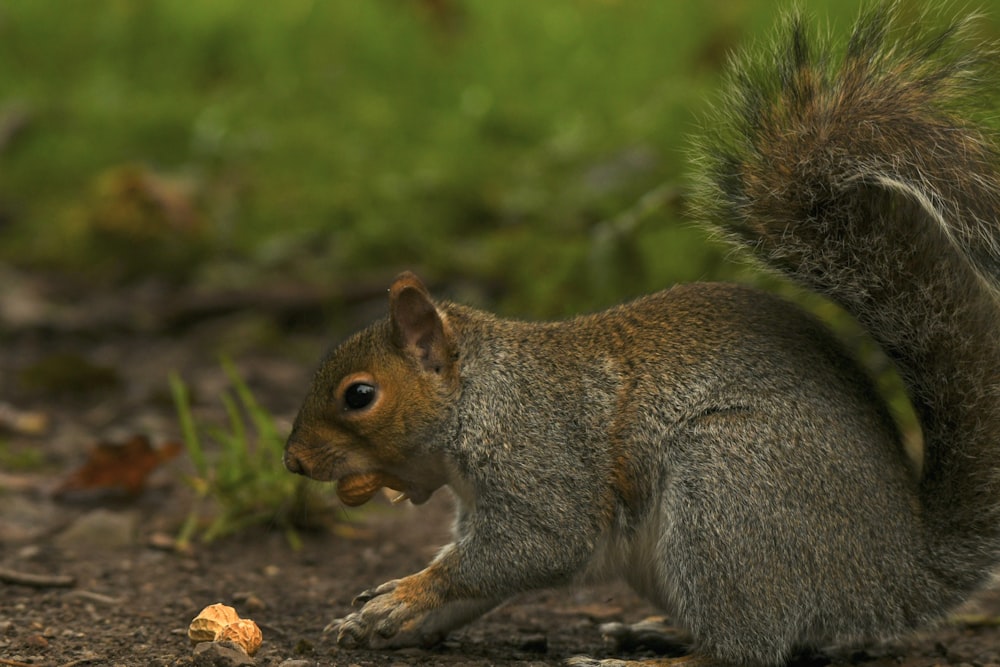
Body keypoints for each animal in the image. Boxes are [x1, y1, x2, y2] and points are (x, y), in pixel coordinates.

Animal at [280, 6, 1000, 667]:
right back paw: (657, 633)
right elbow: (482, 580)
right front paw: (386, 617)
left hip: (728, 492)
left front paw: (407, 594)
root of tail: (898, 572)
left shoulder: (541, 461)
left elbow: (529, 548)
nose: (294, 461)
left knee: (748, 648)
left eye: (359, 395)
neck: (483, 395)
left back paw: (648, 657)